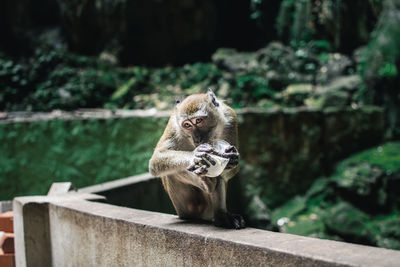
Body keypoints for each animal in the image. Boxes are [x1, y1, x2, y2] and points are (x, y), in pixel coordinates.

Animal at [148, 89, 245, 229]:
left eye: (199, 120)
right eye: (187, 125)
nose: (197, 139)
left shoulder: (230, 117)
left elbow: (230, 171)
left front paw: (232, 159)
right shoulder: (173, 124)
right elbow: (156, 160)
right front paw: (195, 155)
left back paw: (221, 215)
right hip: (185, 208)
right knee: (174, 170)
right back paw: (207, 183)